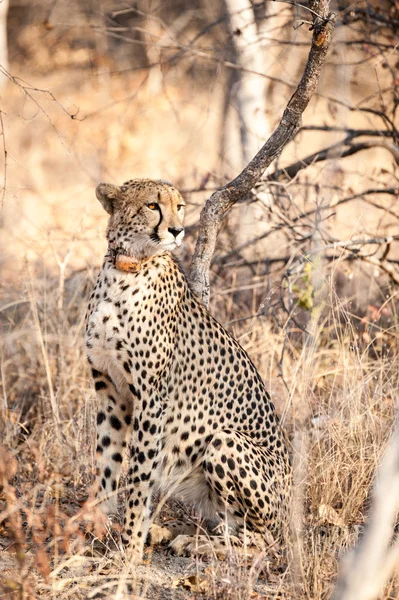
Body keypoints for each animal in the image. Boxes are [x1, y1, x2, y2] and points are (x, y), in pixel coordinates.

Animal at [86, 178, 292, 564]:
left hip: (226, 441)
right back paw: (170, 532)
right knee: (227, 524)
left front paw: (130, 548)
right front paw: (95, 526)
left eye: (179, 206)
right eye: (152, 205)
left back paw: (195, 543)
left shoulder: (151, 399)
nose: (178, 230)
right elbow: (107, 462)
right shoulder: (111, 393)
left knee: (262, 542)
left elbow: (139, 476)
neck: (126, 267)